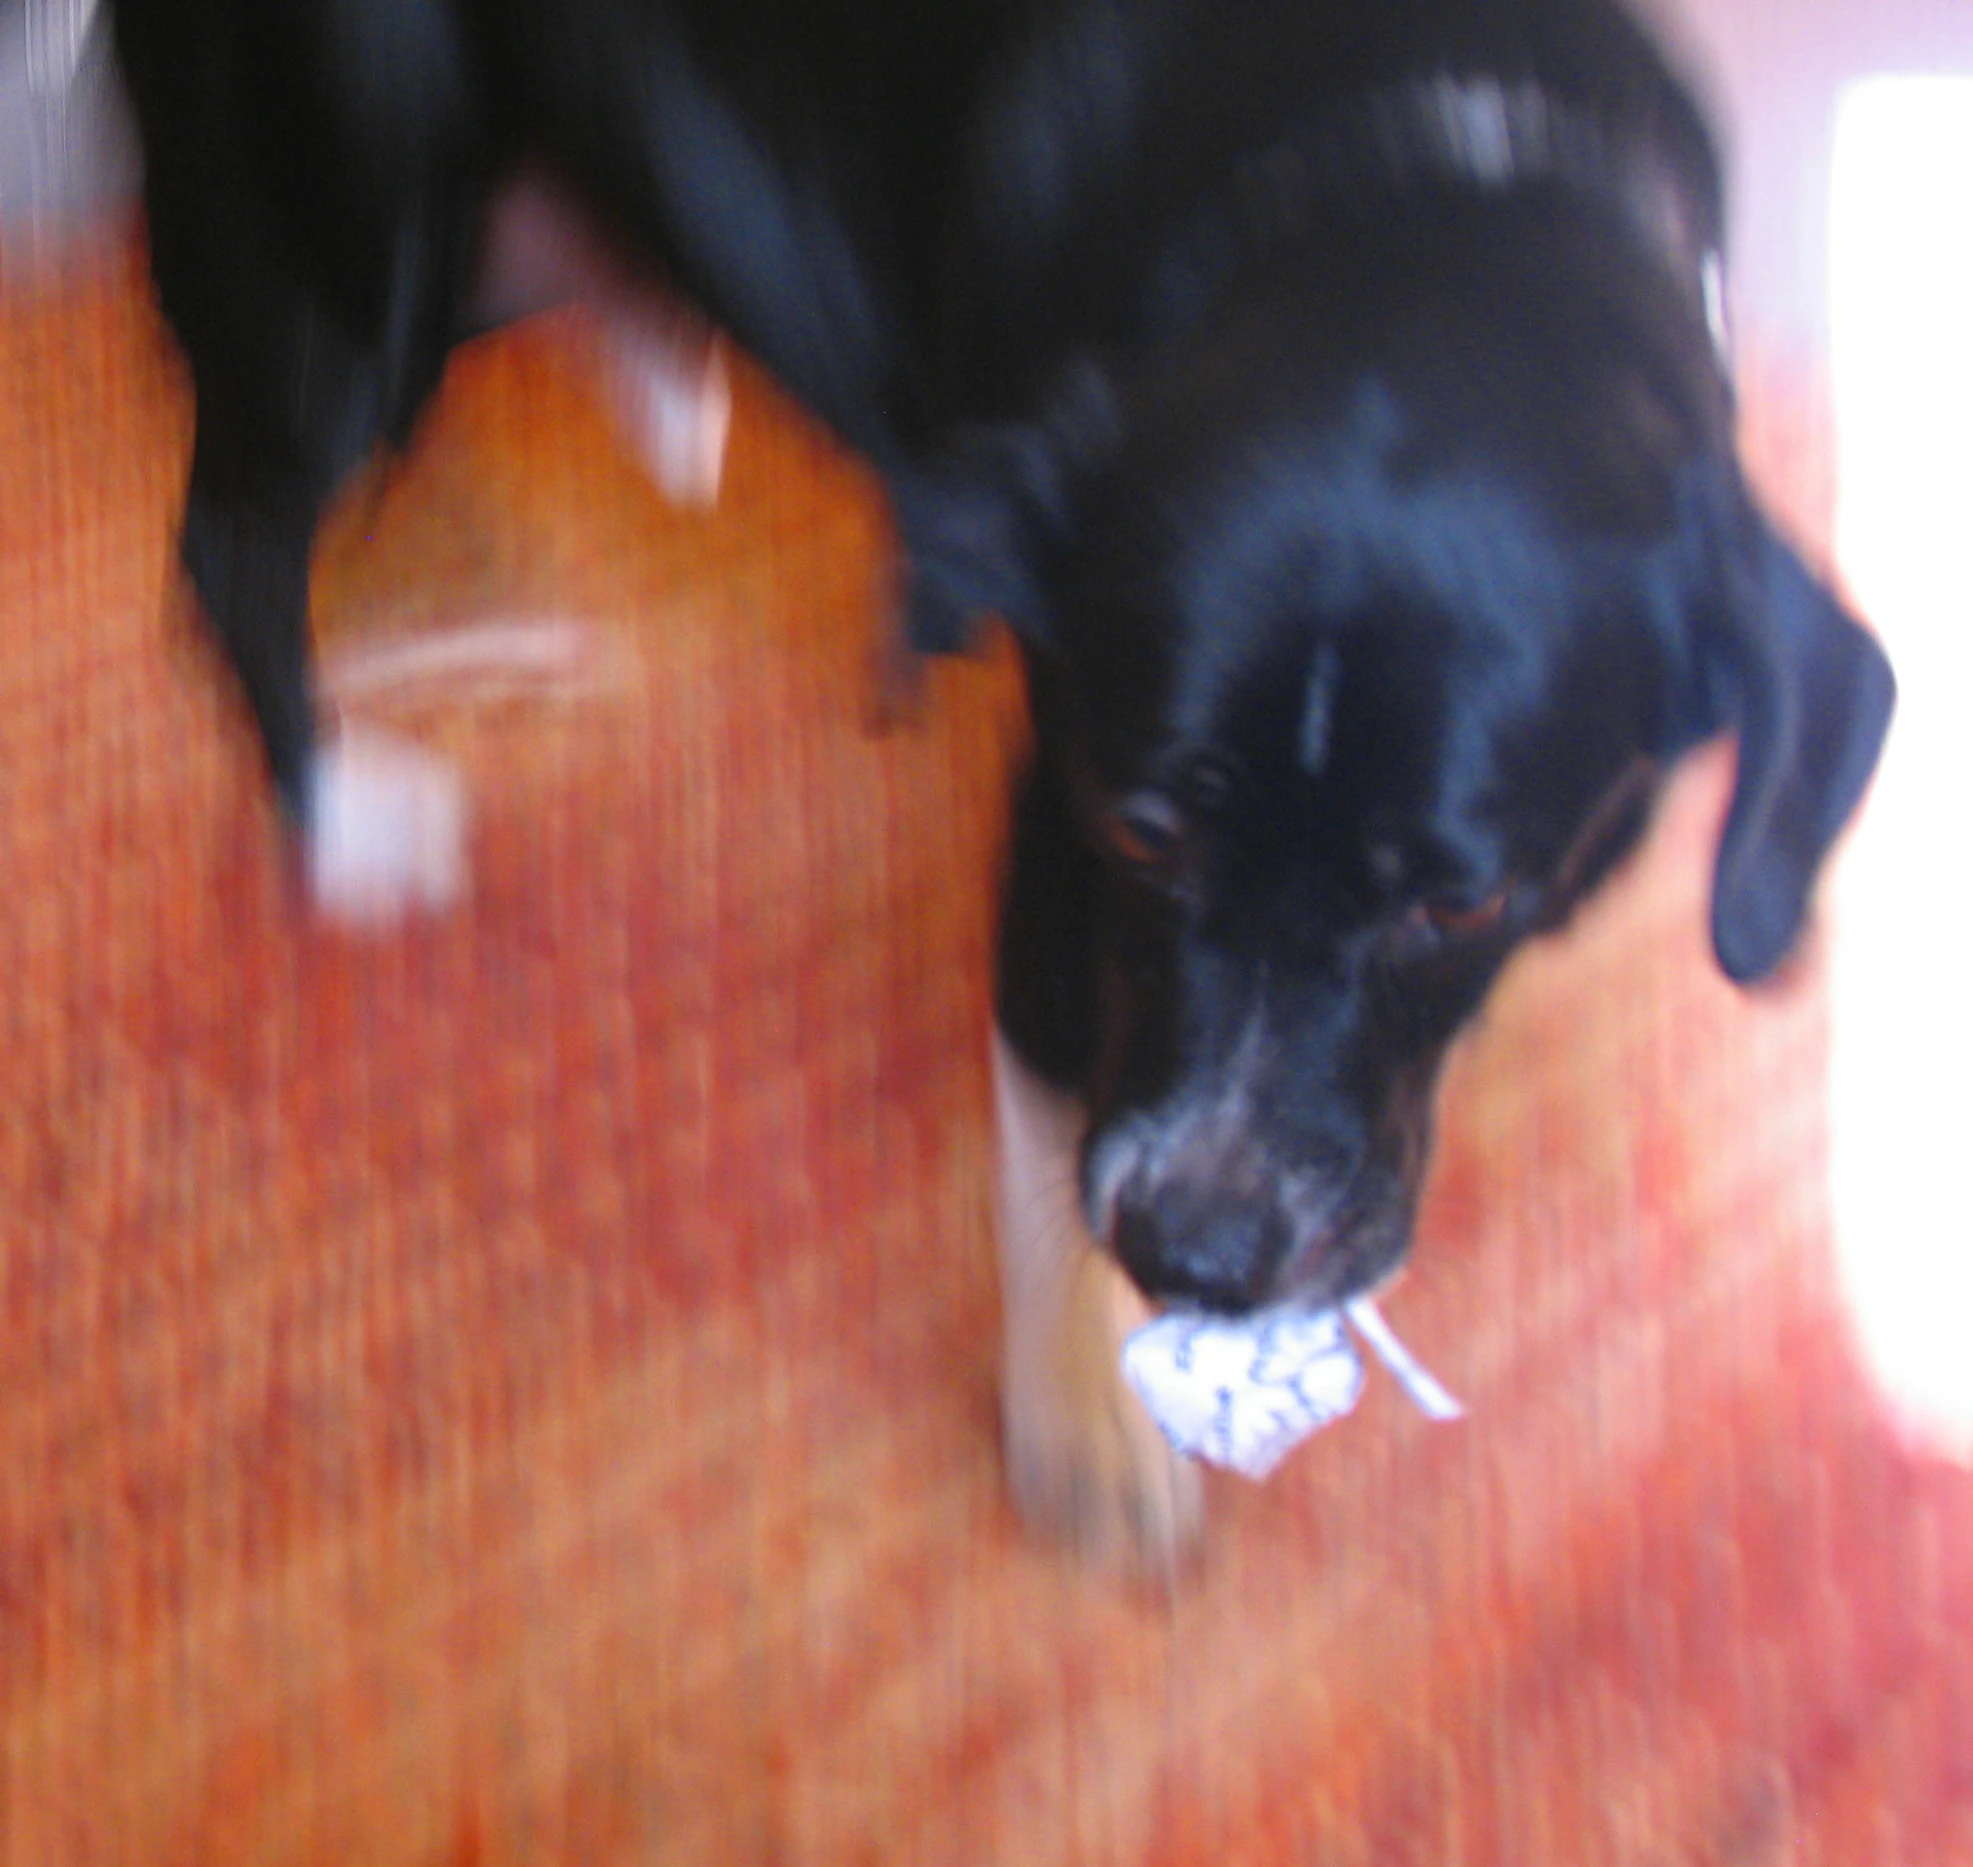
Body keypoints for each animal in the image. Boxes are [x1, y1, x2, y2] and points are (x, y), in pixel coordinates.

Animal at [111, 0, 1894, 1563]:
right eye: (1143, 827)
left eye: (1463, 897)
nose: (1200, 1253)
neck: (1425, 198)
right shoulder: (1060, 823)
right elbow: (1047, 1129)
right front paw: (1085, 1429)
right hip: (351, 241)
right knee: (234, 532)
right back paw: (345, 812)